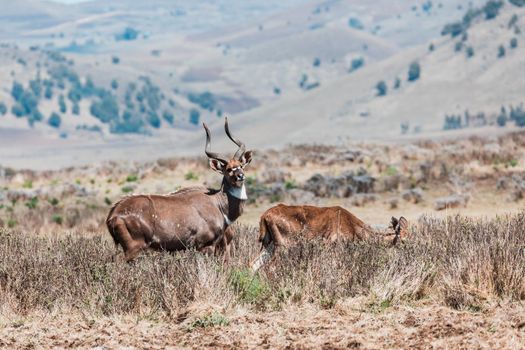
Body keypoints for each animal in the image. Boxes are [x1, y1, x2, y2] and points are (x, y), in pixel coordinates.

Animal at [105, 118, 253, 262]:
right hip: (134, 248)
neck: (218, 204)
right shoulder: (205, 245)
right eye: (228, 169)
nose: (240, 176)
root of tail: (113, 215)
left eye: (241, 166)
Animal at [251, 204, 410, 272]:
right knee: (271, 267)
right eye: (403, 240)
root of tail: (265, 216)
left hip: (269, 245)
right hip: (283, 245)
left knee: (253, 264)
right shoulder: (332, 246)